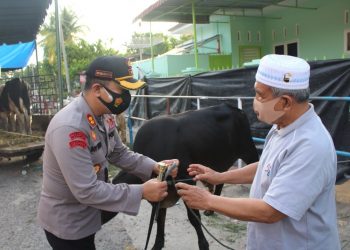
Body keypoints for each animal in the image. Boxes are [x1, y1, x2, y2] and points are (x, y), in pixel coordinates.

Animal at [112, 102, 260, 249]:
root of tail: (235, 108)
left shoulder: (187, 181)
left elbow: (193, 217)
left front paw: (203, 244)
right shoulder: (161, 195)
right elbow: (160, 219)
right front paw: (157, 244)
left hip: (249, 150)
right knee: (220, 179)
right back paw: (210, 210)